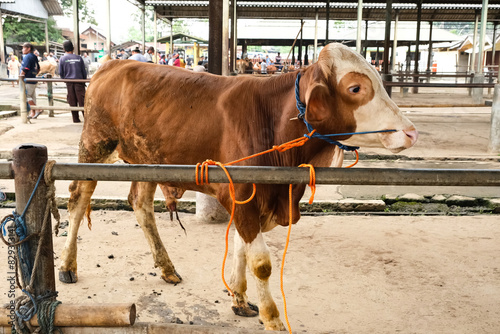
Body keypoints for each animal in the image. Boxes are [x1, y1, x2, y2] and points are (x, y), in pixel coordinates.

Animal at [58, 43, 418, 330]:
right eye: (355, 88)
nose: (411, 132)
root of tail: (112, 64)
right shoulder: (245, 193)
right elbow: (261, 262)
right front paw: (272, 318)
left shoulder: (251, 197)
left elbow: (240, 248)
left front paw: (239, 298)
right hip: (95, 146)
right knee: (78, 198)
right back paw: (66, 266)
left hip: (145, 161)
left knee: (140, 204)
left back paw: (167, 267)